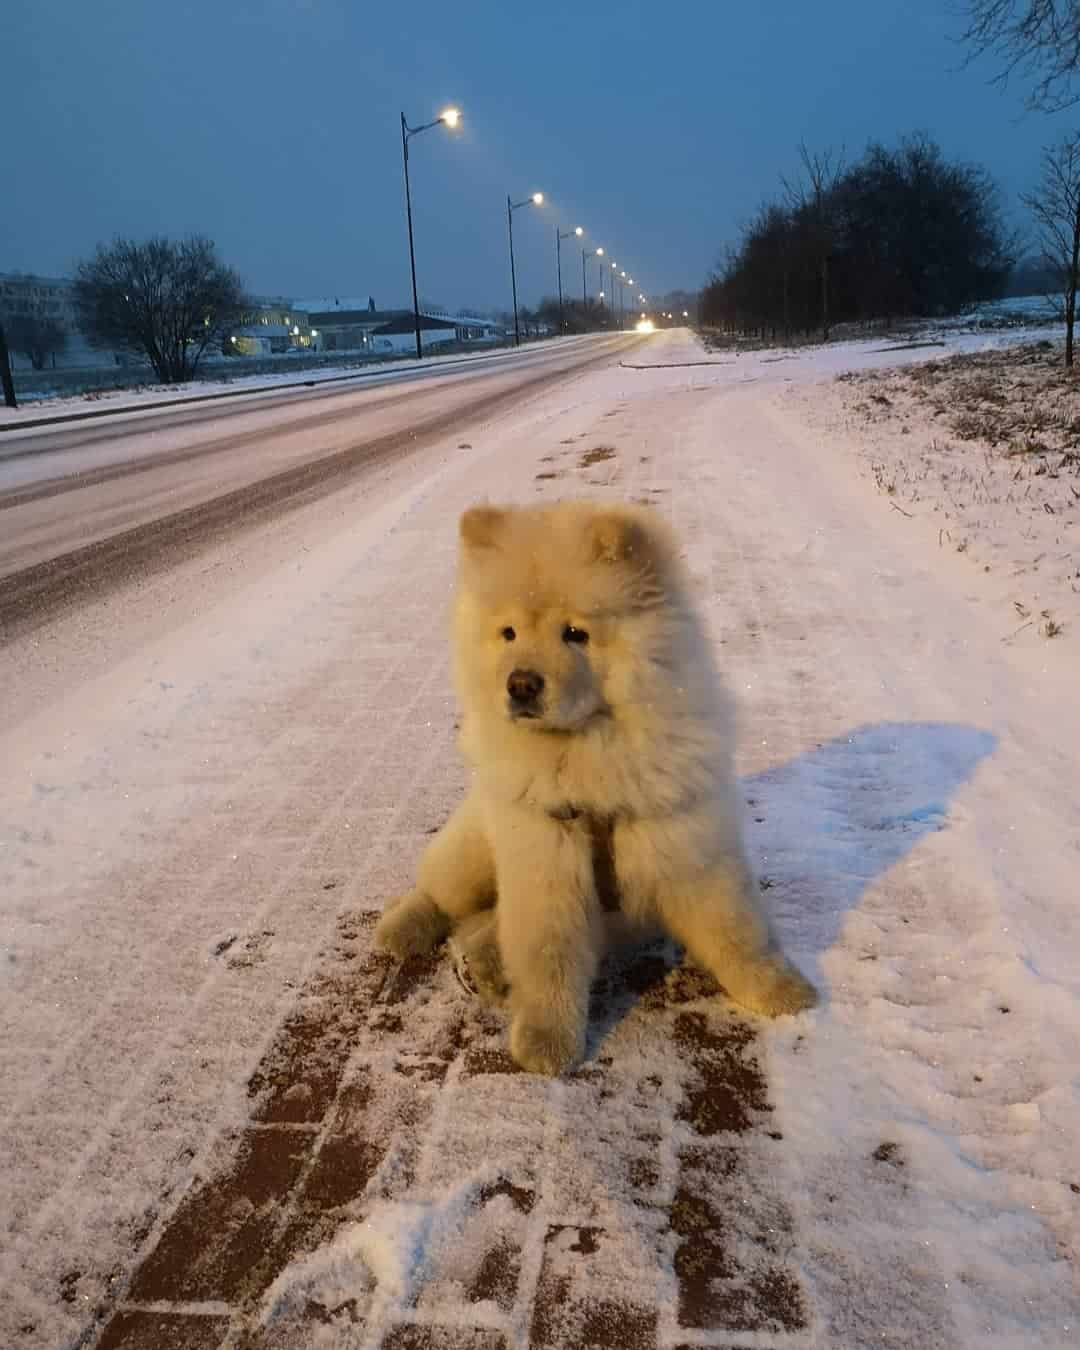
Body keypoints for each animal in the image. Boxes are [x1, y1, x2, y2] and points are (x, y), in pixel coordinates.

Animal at [375, 499, 815, 1074]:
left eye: (575, 634)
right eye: (508, 633)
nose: (520, 684)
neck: (589, 757)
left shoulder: (690, 845)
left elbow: (738, 932)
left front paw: (784, 993)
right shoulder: (545, 859)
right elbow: (548, 957)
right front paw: (547, 1046)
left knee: (485, 925)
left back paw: (486, 964)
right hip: (472, 851)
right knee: (436, 893)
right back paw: (400, 932)